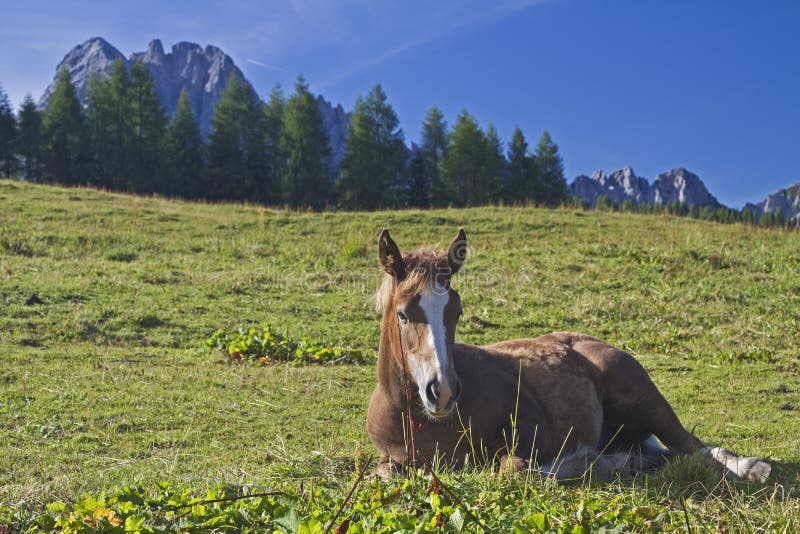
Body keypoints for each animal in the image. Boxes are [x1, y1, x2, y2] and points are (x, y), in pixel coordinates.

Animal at [366, 229, 771, 482]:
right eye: (403, 314)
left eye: (457, 312)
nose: (444, 391)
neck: (422, 422)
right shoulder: (389, 459)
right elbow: (385, 471)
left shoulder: (531, 425)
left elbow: (514, 468)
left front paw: (583, 461)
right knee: (667, 452)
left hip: (645, 397)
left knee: (693, 447)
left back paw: (751, 468)